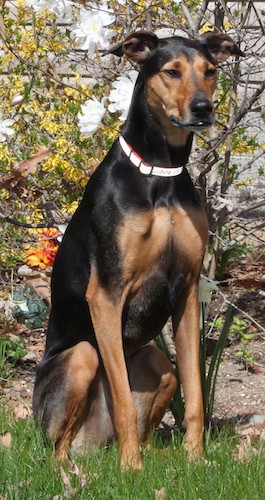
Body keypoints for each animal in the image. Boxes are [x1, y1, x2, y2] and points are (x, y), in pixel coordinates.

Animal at [33, 30, 243, 468]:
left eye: (211, 71)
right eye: (171, 72)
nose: (203, 108)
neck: (160, 172)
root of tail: (94, 443)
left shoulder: (186, 291)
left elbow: (195, 394)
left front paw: (196, 459)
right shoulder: (106, 294)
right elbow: (124, 403)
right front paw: (130, 469)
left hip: (157, 360)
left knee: (158, 397)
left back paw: (154, 457)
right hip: (82, 358)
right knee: (58, 448)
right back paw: (97, 465)